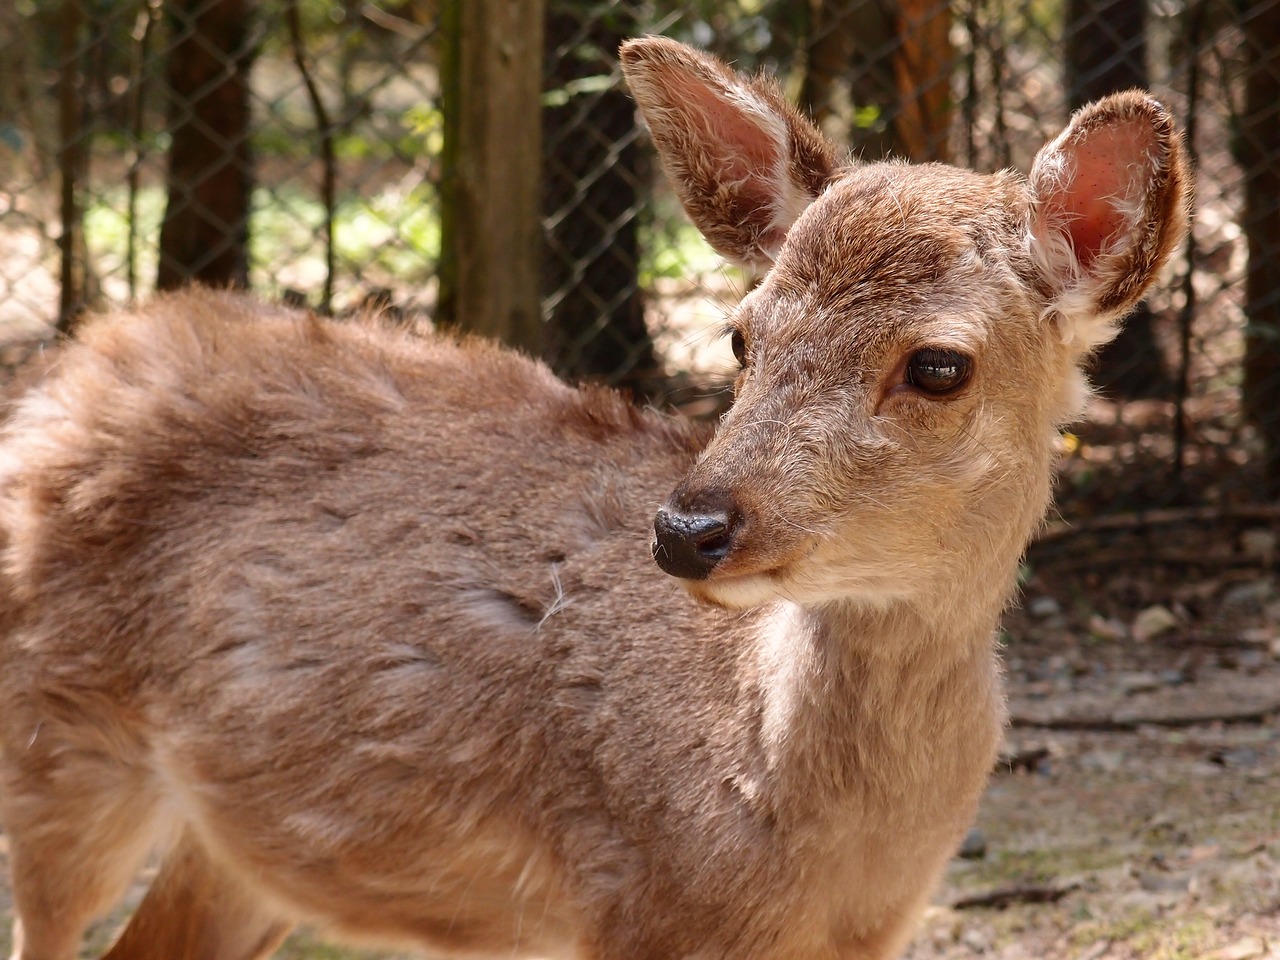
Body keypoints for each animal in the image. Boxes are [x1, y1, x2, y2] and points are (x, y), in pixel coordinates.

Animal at [0, 33, 1187, 960]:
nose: (689, 527)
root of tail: (63, 373)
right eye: (742, 335)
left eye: (939, 365)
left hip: (235, 848)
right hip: (55, 748)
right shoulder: (640, 905)